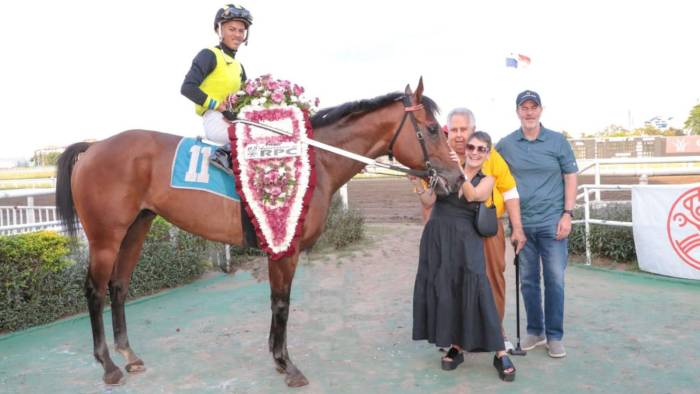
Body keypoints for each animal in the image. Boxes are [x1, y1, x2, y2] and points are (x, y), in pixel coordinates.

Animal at [57, 78, 462, 386]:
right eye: (430, 130)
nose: (457, 179)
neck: (311, 161)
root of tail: (94, 147)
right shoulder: (285, 249)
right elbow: (282, 303)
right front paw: (287, 364)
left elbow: (276, 302)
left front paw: (277, 358)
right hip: (105, 237)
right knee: (94, 290)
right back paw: (108, 365)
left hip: (136, 228)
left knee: (119, 286)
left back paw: (129, 354)